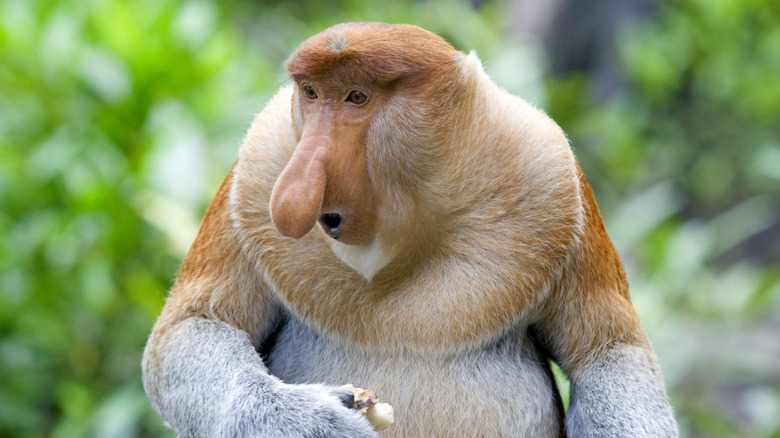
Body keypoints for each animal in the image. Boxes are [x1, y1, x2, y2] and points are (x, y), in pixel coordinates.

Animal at [142, 22, 678, 437]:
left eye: (357, 97)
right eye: (311, 94)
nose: (291, 196)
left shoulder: (550, 171)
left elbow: (608, 352)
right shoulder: (260, 163)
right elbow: (193, 328)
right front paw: (308, 421)